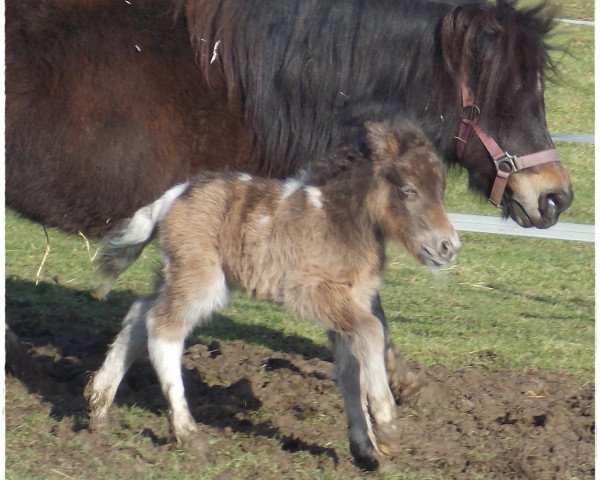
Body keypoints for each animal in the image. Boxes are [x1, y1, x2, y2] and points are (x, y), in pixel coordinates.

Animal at [84, 123, 460, 468]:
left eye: (442, 190)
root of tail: (171, 197)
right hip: (202, 279)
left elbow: (351, 371)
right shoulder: (314, 292)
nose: (449, 247)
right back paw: (188, 435)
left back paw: (99, 408)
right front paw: (387, 431)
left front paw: (365, 450)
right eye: (408, 190)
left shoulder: (349, 306)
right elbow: (372, 332)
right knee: (163, 327)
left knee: (139, 313)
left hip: (180, 274)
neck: (339, 221)